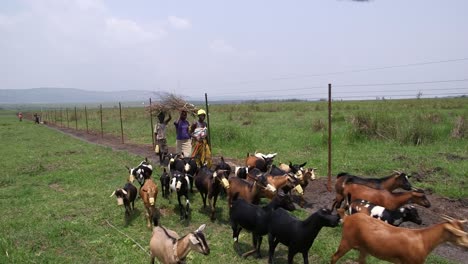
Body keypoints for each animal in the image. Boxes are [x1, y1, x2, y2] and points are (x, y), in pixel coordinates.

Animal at [330, 212, 468, 264]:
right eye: (458, 234)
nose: (467, 245)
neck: (423, 239)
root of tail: (347, 217)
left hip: (364, 248)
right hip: (347, 241)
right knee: (334, 257)